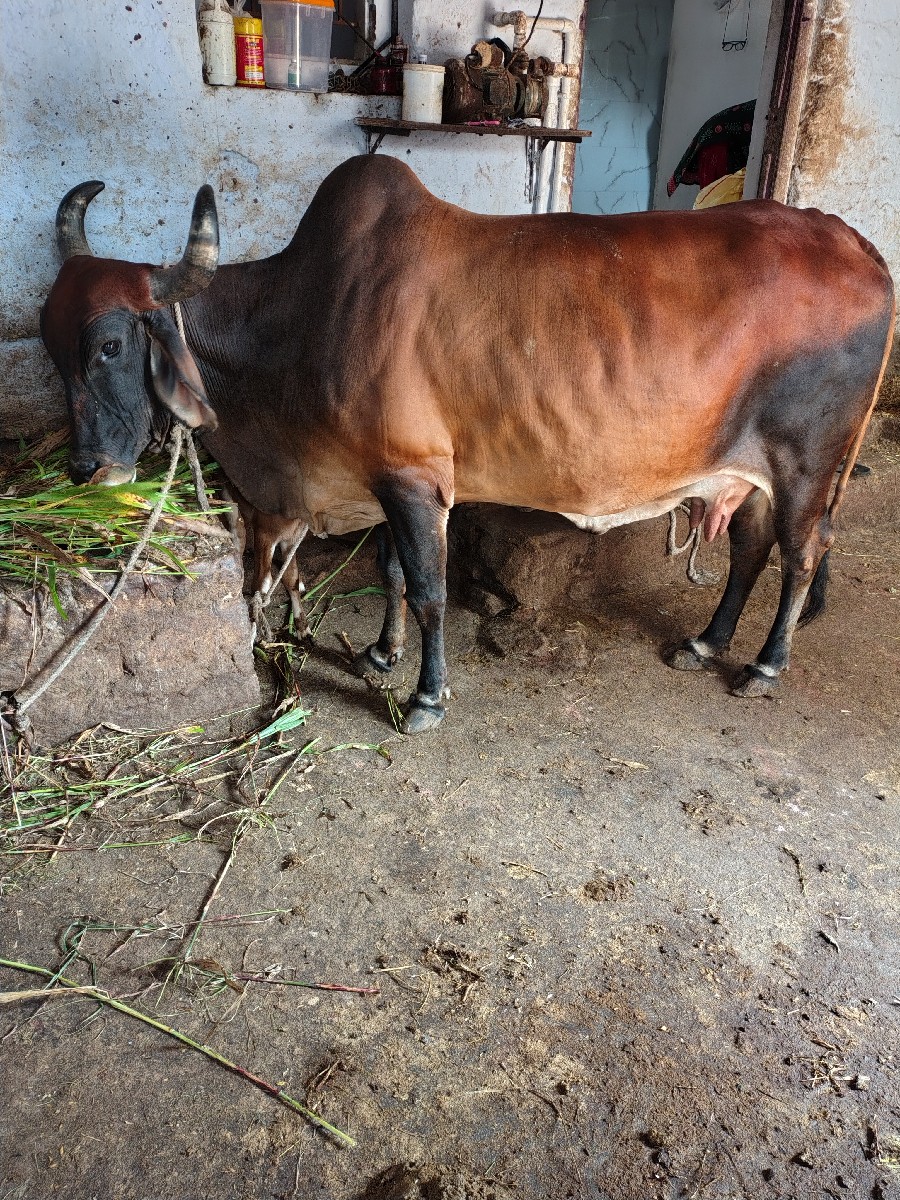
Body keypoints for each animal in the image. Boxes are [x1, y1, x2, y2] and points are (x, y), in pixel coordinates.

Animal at [40, 155, 895, 733]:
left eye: (111, 345)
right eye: (49, 345)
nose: (86, 468)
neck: (303, 316)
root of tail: (853, 242)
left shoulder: (414, 478)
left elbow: (427, 589)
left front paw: (424, 696)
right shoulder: (382, 476)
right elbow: (390, 573)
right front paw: (381, 655)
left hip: (807, 463)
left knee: (801, 554)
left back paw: (763, 664)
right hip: (742, 472)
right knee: (750, 550)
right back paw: (707, 643)